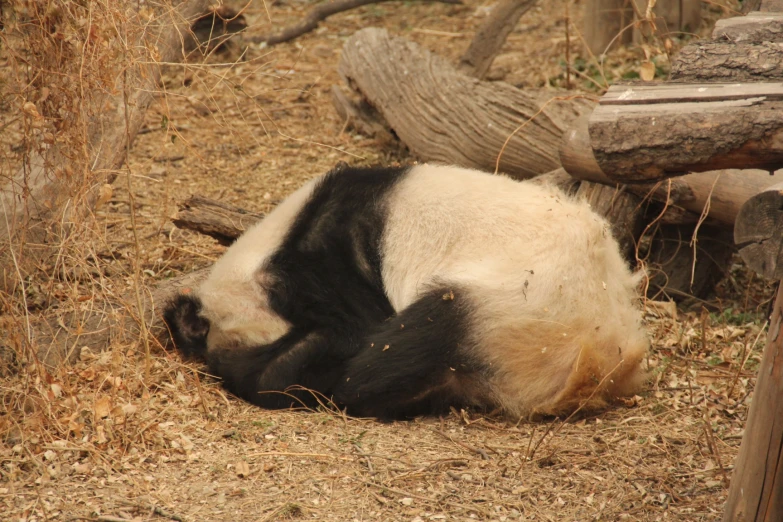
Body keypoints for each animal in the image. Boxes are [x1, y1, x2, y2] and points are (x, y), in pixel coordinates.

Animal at [165, 162, 648, 418]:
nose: (231, 370)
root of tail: (604, 362)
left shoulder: (333, 264)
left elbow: (350, 330)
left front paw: (272, 371)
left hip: (519, 305)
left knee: (403, 349)